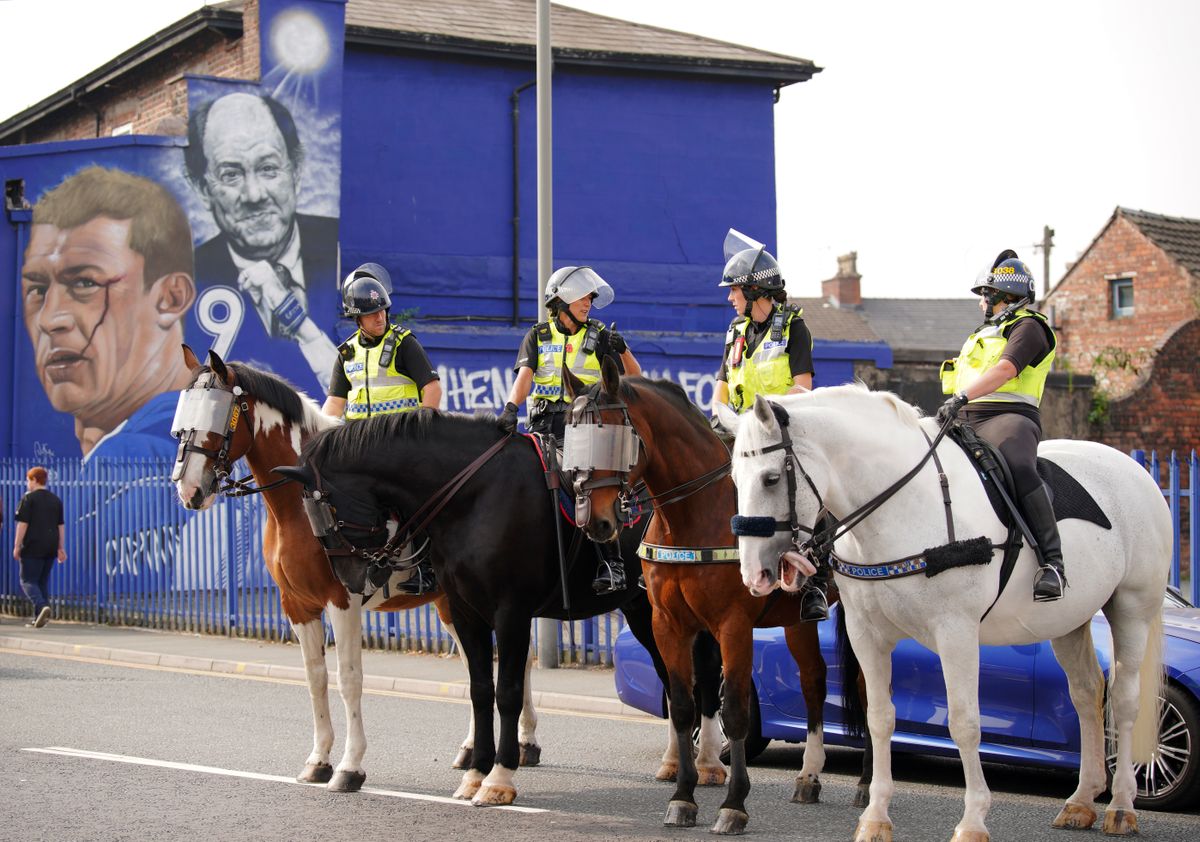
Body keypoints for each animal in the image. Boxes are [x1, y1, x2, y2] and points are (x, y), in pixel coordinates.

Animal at [171, 347, 542, 791]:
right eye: (181, 423)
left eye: (219, 416)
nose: (189, 490)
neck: (303, 500)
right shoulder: (297, 605)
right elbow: (315, 679)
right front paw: (318, 759)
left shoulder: (341, 602)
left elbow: (349, 679)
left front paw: (350, 766)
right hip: (453, 605)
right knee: (480, 665)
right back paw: (474, 750)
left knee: (514, 662)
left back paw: (525, 743)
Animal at [291, 407, 724, 810]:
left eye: (326, 512)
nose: (351, 580)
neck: (475, 495)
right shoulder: (466, 612)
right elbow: (480, 690)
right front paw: (475, 773)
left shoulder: (511, 613)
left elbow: (509, 693)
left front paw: (499, 777)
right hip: (643, 612)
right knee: (670, 677)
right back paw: (674, 761)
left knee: (704, 677)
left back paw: (707, 762)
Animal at [556, 362, 868, 839]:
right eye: (571, 435)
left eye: (611, 434)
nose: (595, 521)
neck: (692, 515)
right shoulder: (669, 624)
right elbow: (683, 706)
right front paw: (683, 796)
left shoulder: (732, 626)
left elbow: (734, 709)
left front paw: (734, 804)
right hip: (796, 619)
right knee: (813, 679)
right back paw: (809, 775)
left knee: (869, 693)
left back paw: (867, 786)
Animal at [715, 388, 1166, 842]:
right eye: (735, 479)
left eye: (771, 478)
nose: (755, 574)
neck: (902, 506)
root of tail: (1134, 469)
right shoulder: (866, 635)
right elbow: (879, 718)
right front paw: (876, 816)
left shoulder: (956, 633)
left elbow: (965, 722)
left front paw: (973, 820)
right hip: (1068, 622)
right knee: (1087, 693)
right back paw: (1081, 801)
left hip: (1131, 608)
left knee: (1124, 700)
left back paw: (1121, 806)